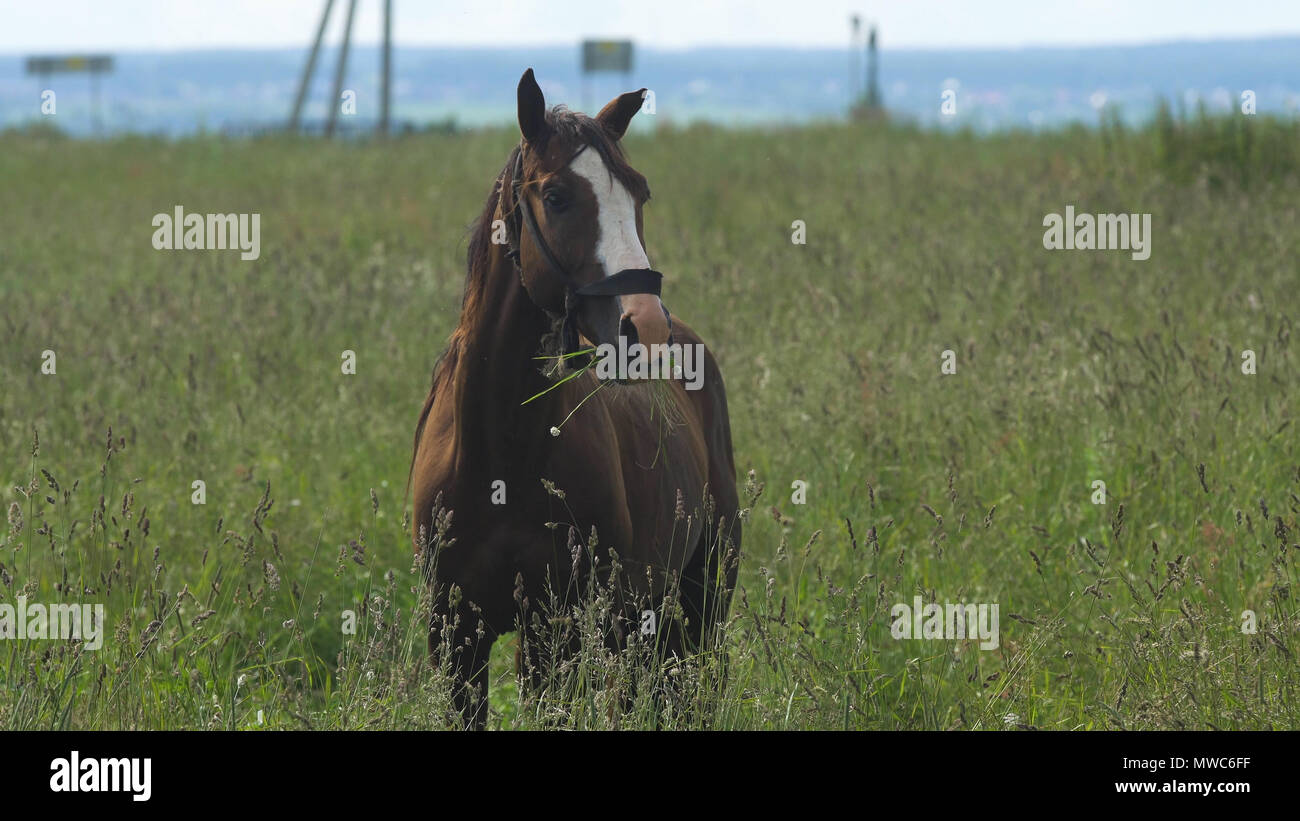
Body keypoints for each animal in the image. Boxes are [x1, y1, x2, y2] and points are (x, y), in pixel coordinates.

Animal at [409, 69, 741, 727]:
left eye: (638, 194)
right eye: (558, 196)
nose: (647, 326)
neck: (499, 453)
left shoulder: (552, 631)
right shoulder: (455, 636)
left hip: (696, 602)